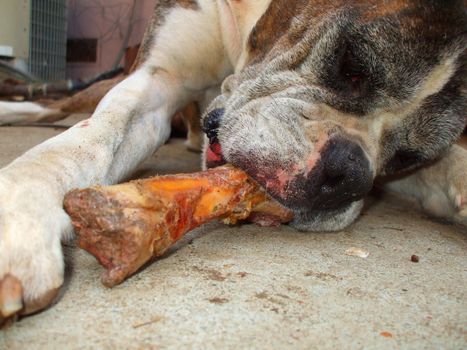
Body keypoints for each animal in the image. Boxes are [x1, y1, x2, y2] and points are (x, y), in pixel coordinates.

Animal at [0, 0, 467, 322]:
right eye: (351, 66)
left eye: (404, 156)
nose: (349, 173)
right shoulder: (156, 78)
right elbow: (93, 136)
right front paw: (21, 212)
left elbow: (438, 167)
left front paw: (458, 180)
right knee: (53, 107)